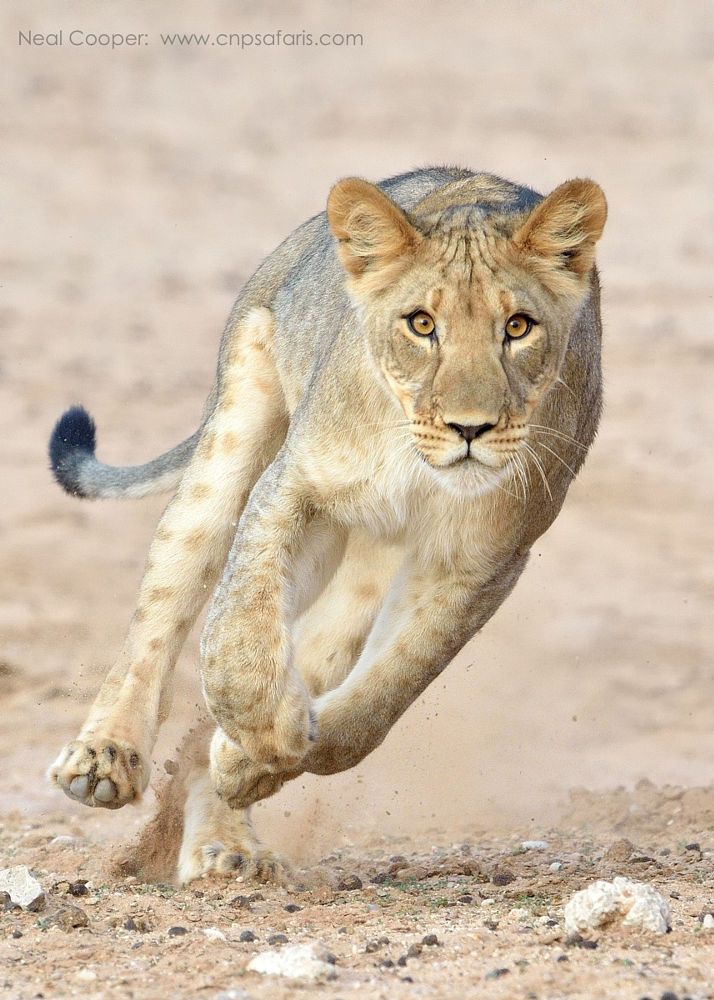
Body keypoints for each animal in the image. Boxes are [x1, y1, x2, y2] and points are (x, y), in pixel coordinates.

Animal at [47, 166, 608, 884]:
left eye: (518, 326)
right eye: (421, 324)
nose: (470, 429)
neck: (416, 461)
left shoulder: (481, 560)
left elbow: (380, 699)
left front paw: (250, 762)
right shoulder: (293, 483)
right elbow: (236, 643)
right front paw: (265, 734)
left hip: (364, 564)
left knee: (315, 650)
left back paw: (226, 838)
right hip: (234, 433)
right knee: (165, 609)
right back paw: (105, 761)